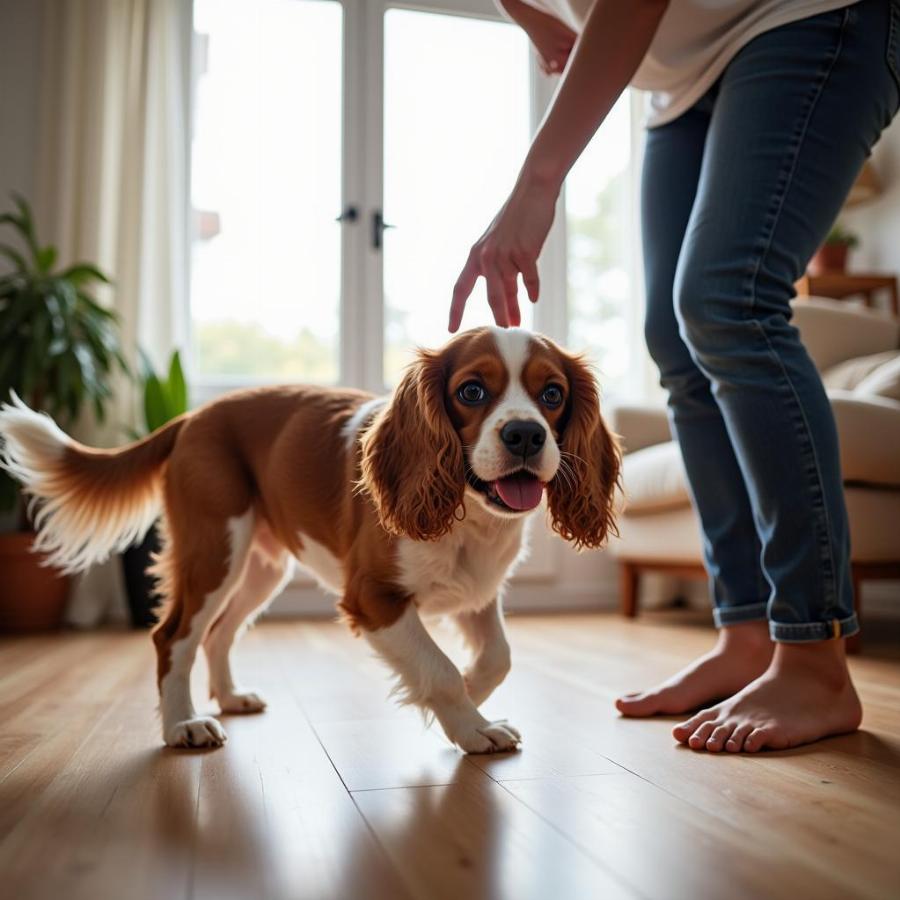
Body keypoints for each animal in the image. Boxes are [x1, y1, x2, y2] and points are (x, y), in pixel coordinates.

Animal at [0, 328, 620, 752]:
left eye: (552, 394)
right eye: (471, 390)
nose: (524, 435)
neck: (468, 514)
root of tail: (193, 417)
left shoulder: (477, 593)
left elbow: (497, 658)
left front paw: (472, 701)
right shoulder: (371, 597)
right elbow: (439, 669)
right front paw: (469, 726)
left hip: (261, 569)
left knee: (219, 634)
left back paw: (229, 698)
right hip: (214, 554)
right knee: (172, 637)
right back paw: (183, 725)